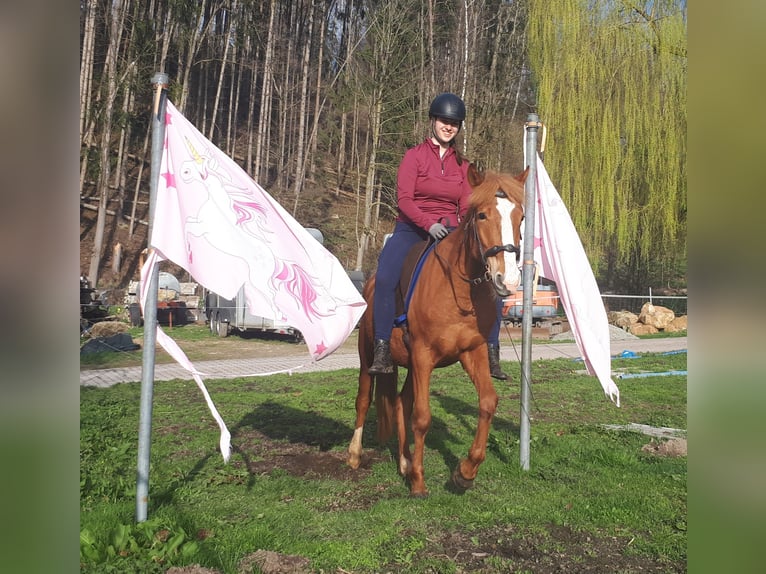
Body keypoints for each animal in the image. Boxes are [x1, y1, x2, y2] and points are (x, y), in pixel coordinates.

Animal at [348, 163, 528, 500]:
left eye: (521, 217)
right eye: (481, 215)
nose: (507, 280)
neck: (455, 287)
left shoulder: (472, 352)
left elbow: (488, 402)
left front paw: (465, 472)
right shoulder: (423, 355)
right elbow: (422, 417)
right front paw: (419, 482)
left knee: (399, 402)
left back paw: (404, 462)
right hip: (368, 357)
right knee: (364, 400)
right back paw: (354, 455)